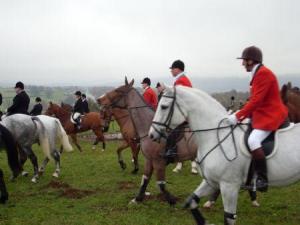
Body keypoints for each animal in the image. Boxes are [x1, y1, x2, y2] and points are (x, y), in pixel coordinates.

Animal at [150, 85, 300, 224]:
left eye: (163, 106)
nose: (151, 134)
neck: (216, 134)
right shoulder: (211, 182)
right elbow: (191, 201)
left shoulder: (229, 186)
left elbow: (229, 217)